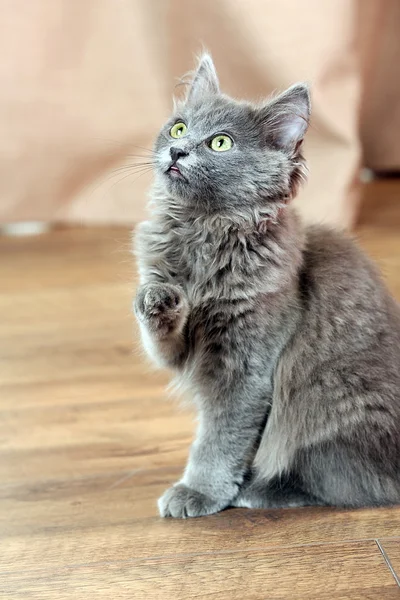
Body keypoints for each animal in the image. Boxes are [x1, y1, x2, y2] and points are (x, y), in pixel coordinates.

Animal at [134, 54, 400, 516]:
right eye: (179, 128)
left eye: (220, 143)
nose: (177, 150)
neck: (203, 230)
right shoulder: (181, 351)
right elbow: (158, 330)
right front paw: (159, 298)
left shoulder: (246, 363)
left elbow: (221, 439)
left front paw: (199, 492)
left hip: (330, 401)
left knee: (352, 483)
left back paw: (258, 491)